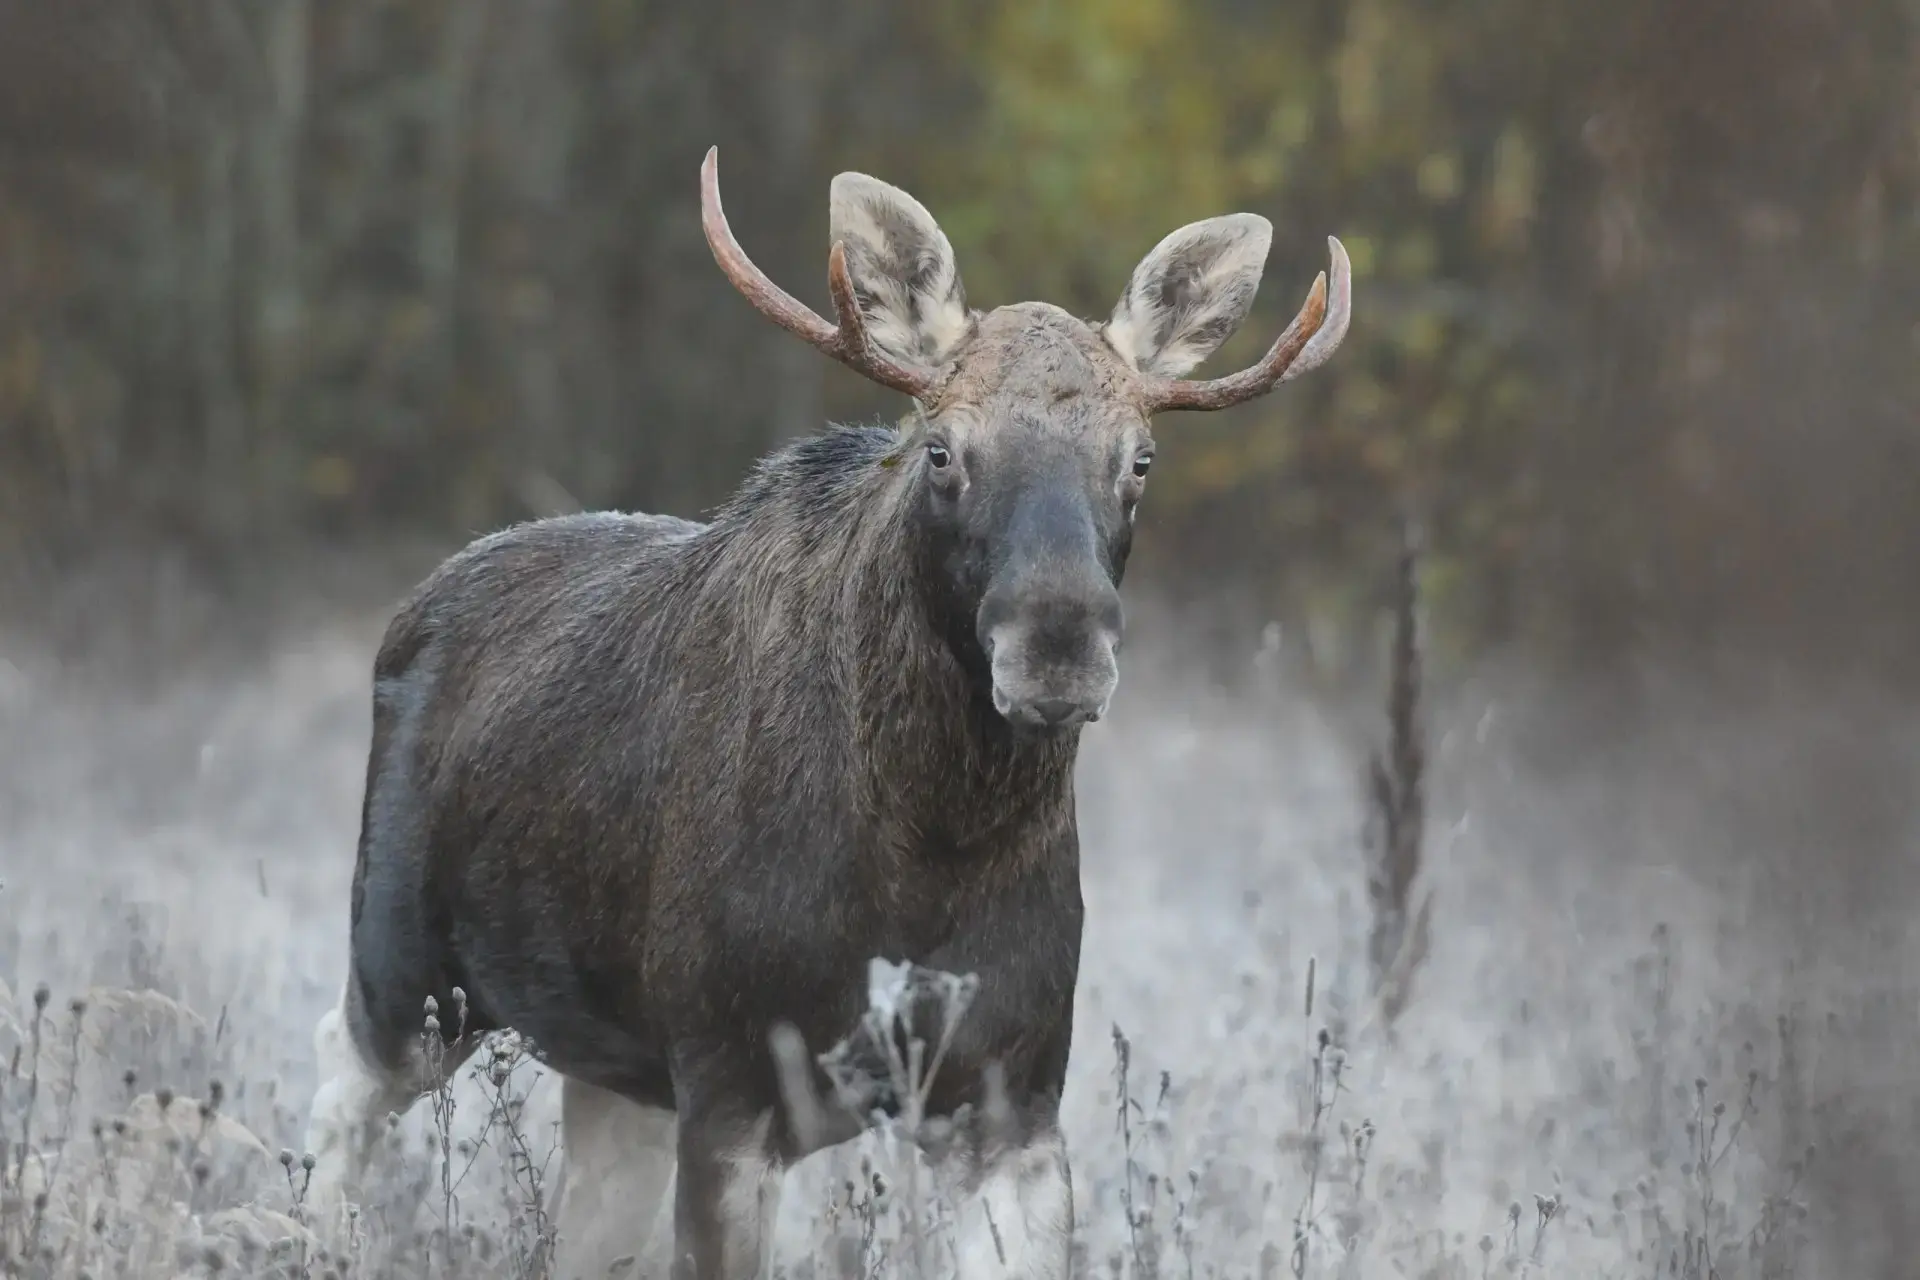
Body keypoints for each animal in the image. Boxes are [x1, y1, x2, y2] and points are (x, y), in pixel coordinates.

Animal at [302, 144, 1350, 1280]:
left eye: (1140, 459)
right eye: (943, 449)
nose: (1060, 645)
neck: (930, 859)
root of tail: (420, 603)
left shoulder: (1014, 1091)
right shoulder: (729, 1073)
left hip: (613, 1062)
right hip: (407, 970)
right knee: (335, 1086)